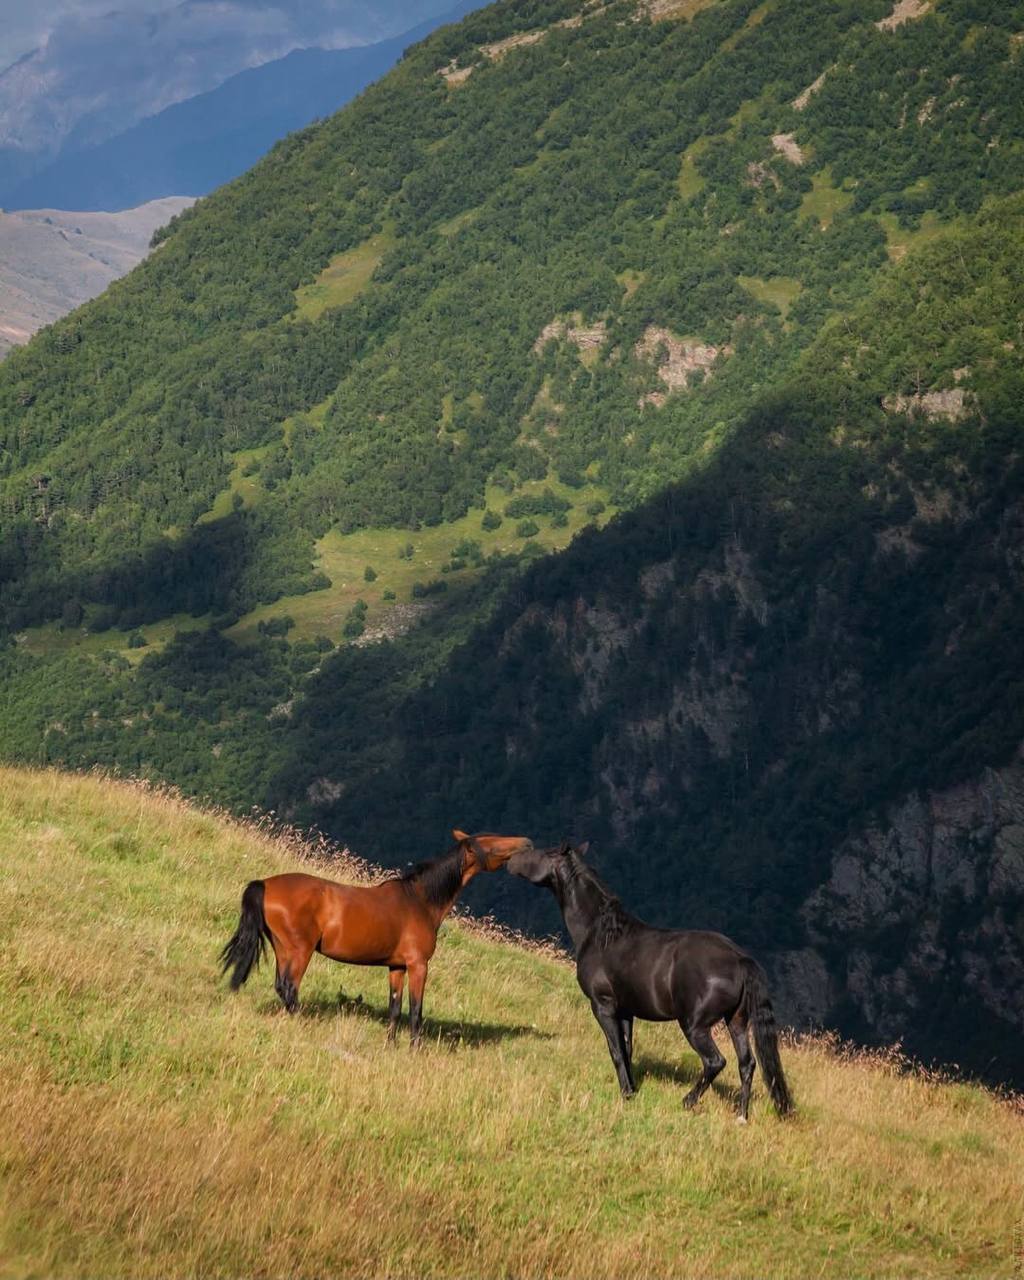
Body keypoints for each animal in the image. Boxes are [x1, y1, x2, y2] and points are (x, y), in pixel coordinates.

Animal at [221, 829, 533, 1043]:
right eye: (491, 844)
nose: (526, 843)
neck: (419, 900)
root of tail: (265, 884)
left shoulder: (396, 966)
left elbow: (394, 1008)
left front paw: (390, 1044)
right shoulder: (418, 965)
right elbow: (416, 1010)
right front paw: (415, 1048)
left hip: (283, 949)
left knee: (281, 986)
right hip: (300, 951)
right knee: (290, 987)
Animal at [507, 841, 793, 1121]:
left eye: (546, 852)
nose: (512, 859)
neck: (601, 934)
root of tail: (740, 959)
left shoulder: (602, 1006)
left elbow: (616, 1051)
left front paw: (626, 1094)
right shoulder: (625, 1011)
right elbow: (627, 1049)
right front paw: (632, 1090)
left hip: (695, 1025)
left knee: (715, 1061)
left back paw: (688, 1101)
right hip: (736, 1021)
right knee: (747, 1063)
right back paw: (741, 1115)